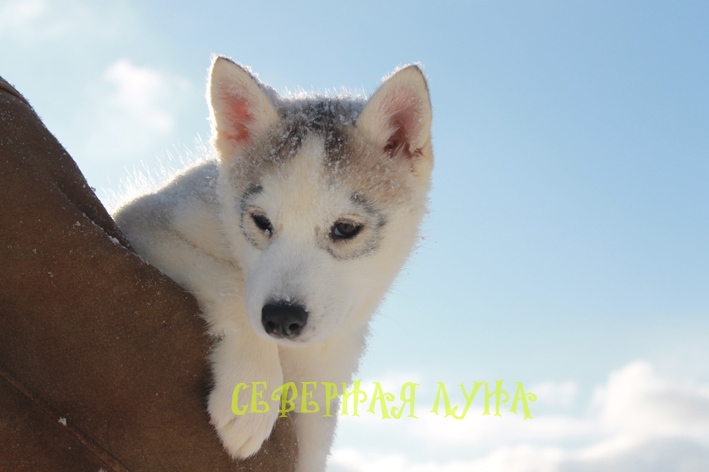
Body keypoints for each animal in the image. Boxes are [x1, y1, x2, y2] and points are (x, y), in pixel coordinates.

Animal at [113, 55, 433, 471]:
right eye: (261, 221)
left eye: (346, 228)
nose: (282, 318)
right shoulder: (144, 218)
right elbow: (233, 286)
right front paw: (251, 392)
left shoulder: (317, 410)